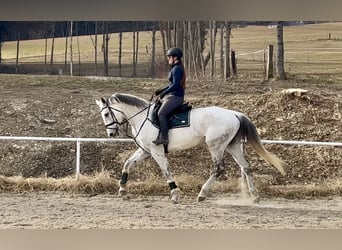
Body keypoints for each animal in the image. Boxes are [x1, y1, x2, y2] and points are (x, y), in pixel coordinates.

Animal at [95, 93, 284, 204]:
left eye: (106, 114)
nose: (111, 134)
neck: (142, 117)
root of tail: (235, 114)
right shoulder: (145, 151)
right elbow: (127, 164)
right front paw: (122, 189)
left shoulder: (156, 151)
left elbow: (166, 171)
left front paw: (175, 194)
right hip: (233, 147)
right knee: (246, 167)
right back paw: (254, 196)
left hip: (215, 146)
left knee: (218, 169)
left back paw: (202, 194)